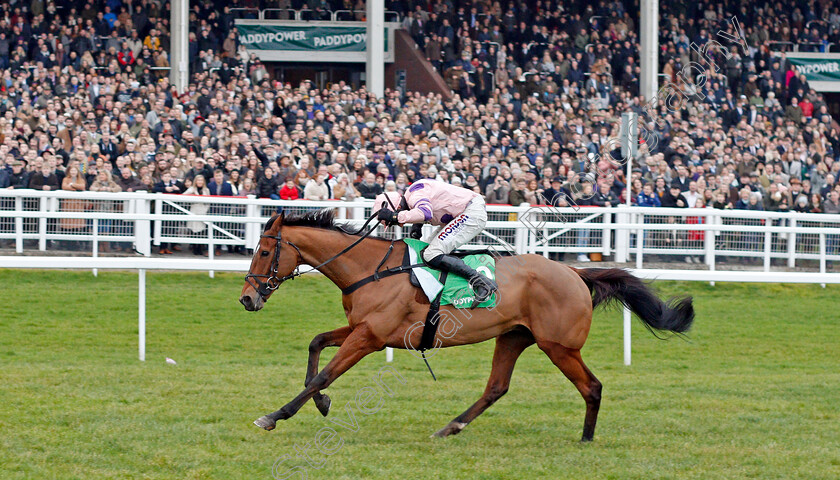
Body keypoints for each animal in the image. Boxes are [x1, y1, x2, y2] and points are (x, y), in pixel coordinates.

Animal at [240, 211, 692, 442]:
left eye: (263, 251)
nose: (247, 298)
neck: (369, 269)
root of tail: (576, 274)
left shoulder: (370, 337)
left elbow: (325, 374)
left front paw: (276, 415)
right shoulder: (362, 330)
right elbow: (316, 343)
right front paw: (321, 403)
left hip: (559, 346)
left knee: (592, 386)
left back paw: (585, 437)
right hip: (514, 337)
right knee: (496, 387)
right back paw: (450, 426)